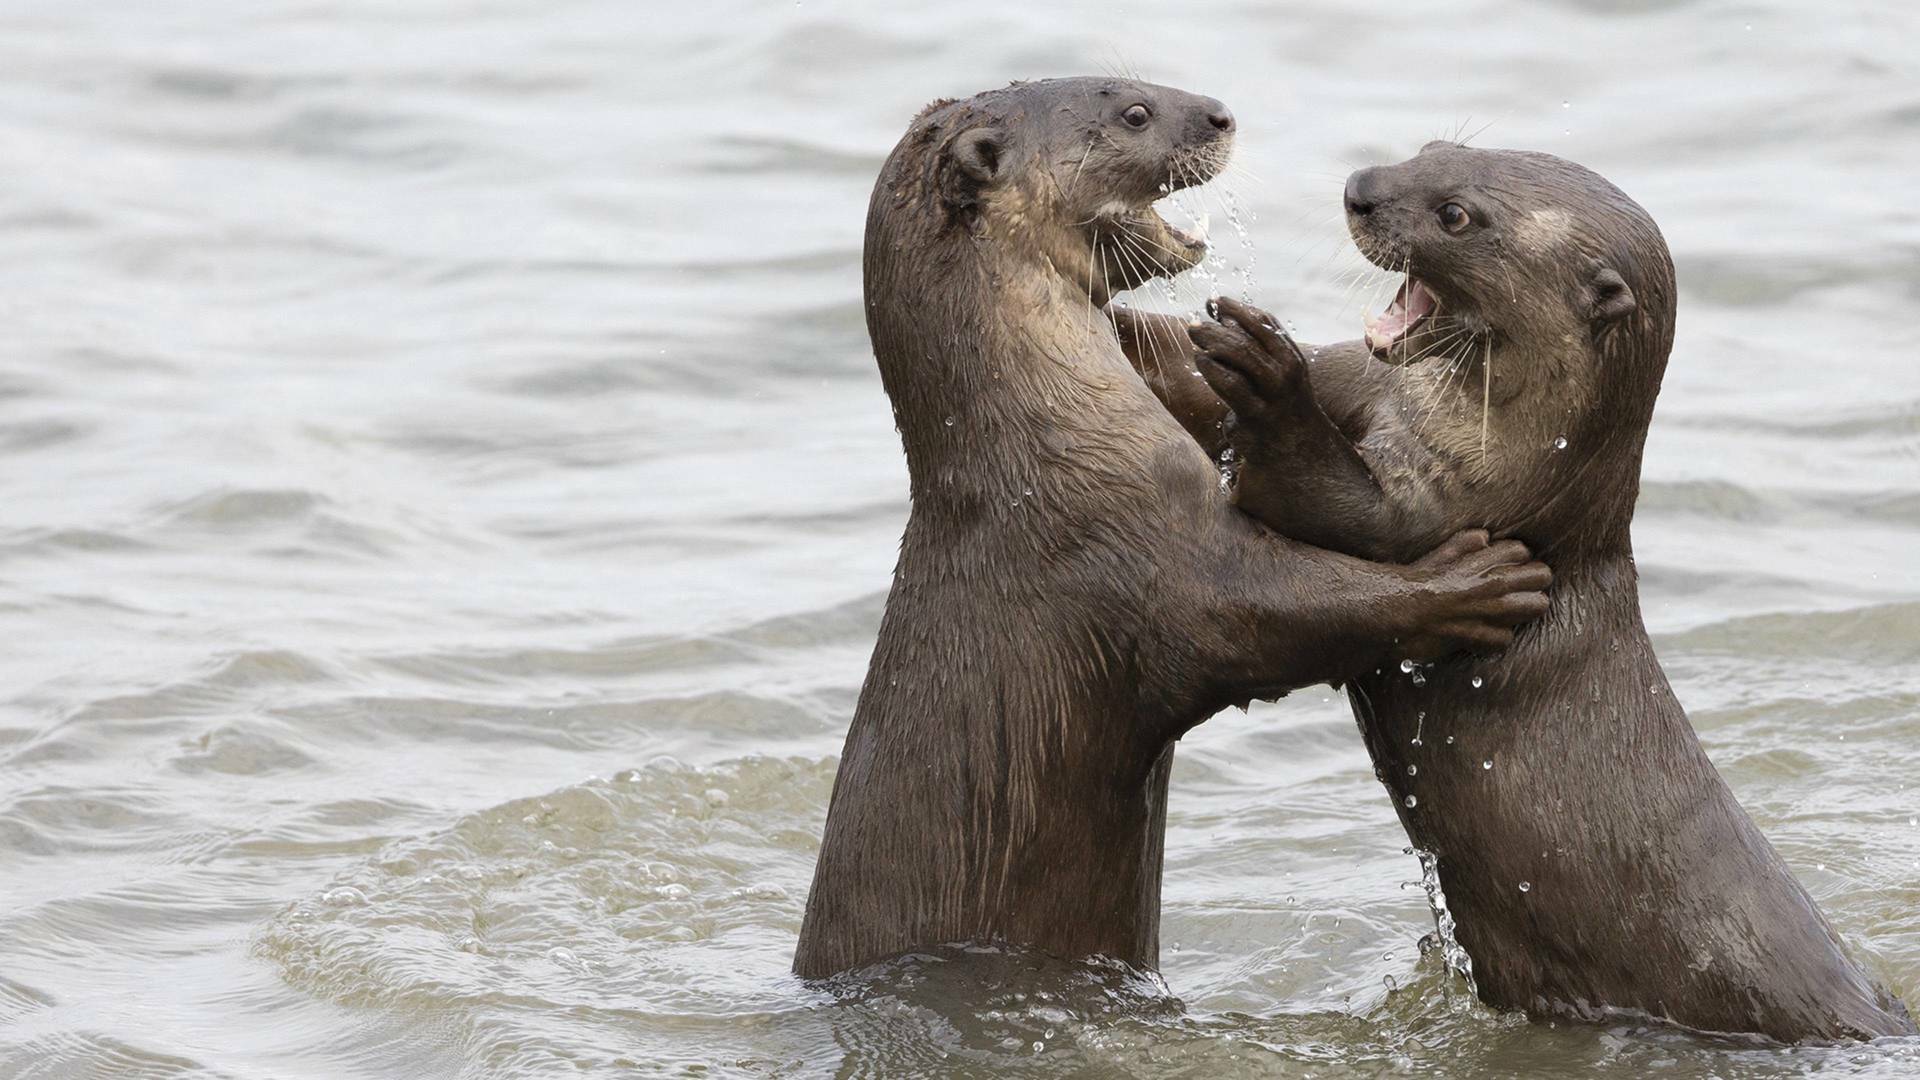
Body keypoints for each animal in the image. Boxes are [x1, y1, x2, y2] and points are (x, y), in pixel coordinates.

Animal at [794, 85, 1559, 976]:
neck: (1045, 448)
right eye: (1133, 112)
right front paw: (1479, 584)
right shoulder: (1142, 558)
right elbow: (1288, 618)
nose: (1222, 114)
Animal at [1121, 138, 1912, 1037]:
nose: (1360, 189)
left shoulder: (1453, 510)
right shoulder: (1363, 385)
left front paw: (1265, 376)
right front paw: (1132, 322)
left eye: (1456, 215)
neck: (1514, 464)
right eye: (1436, 148)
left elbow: (1328, 504)